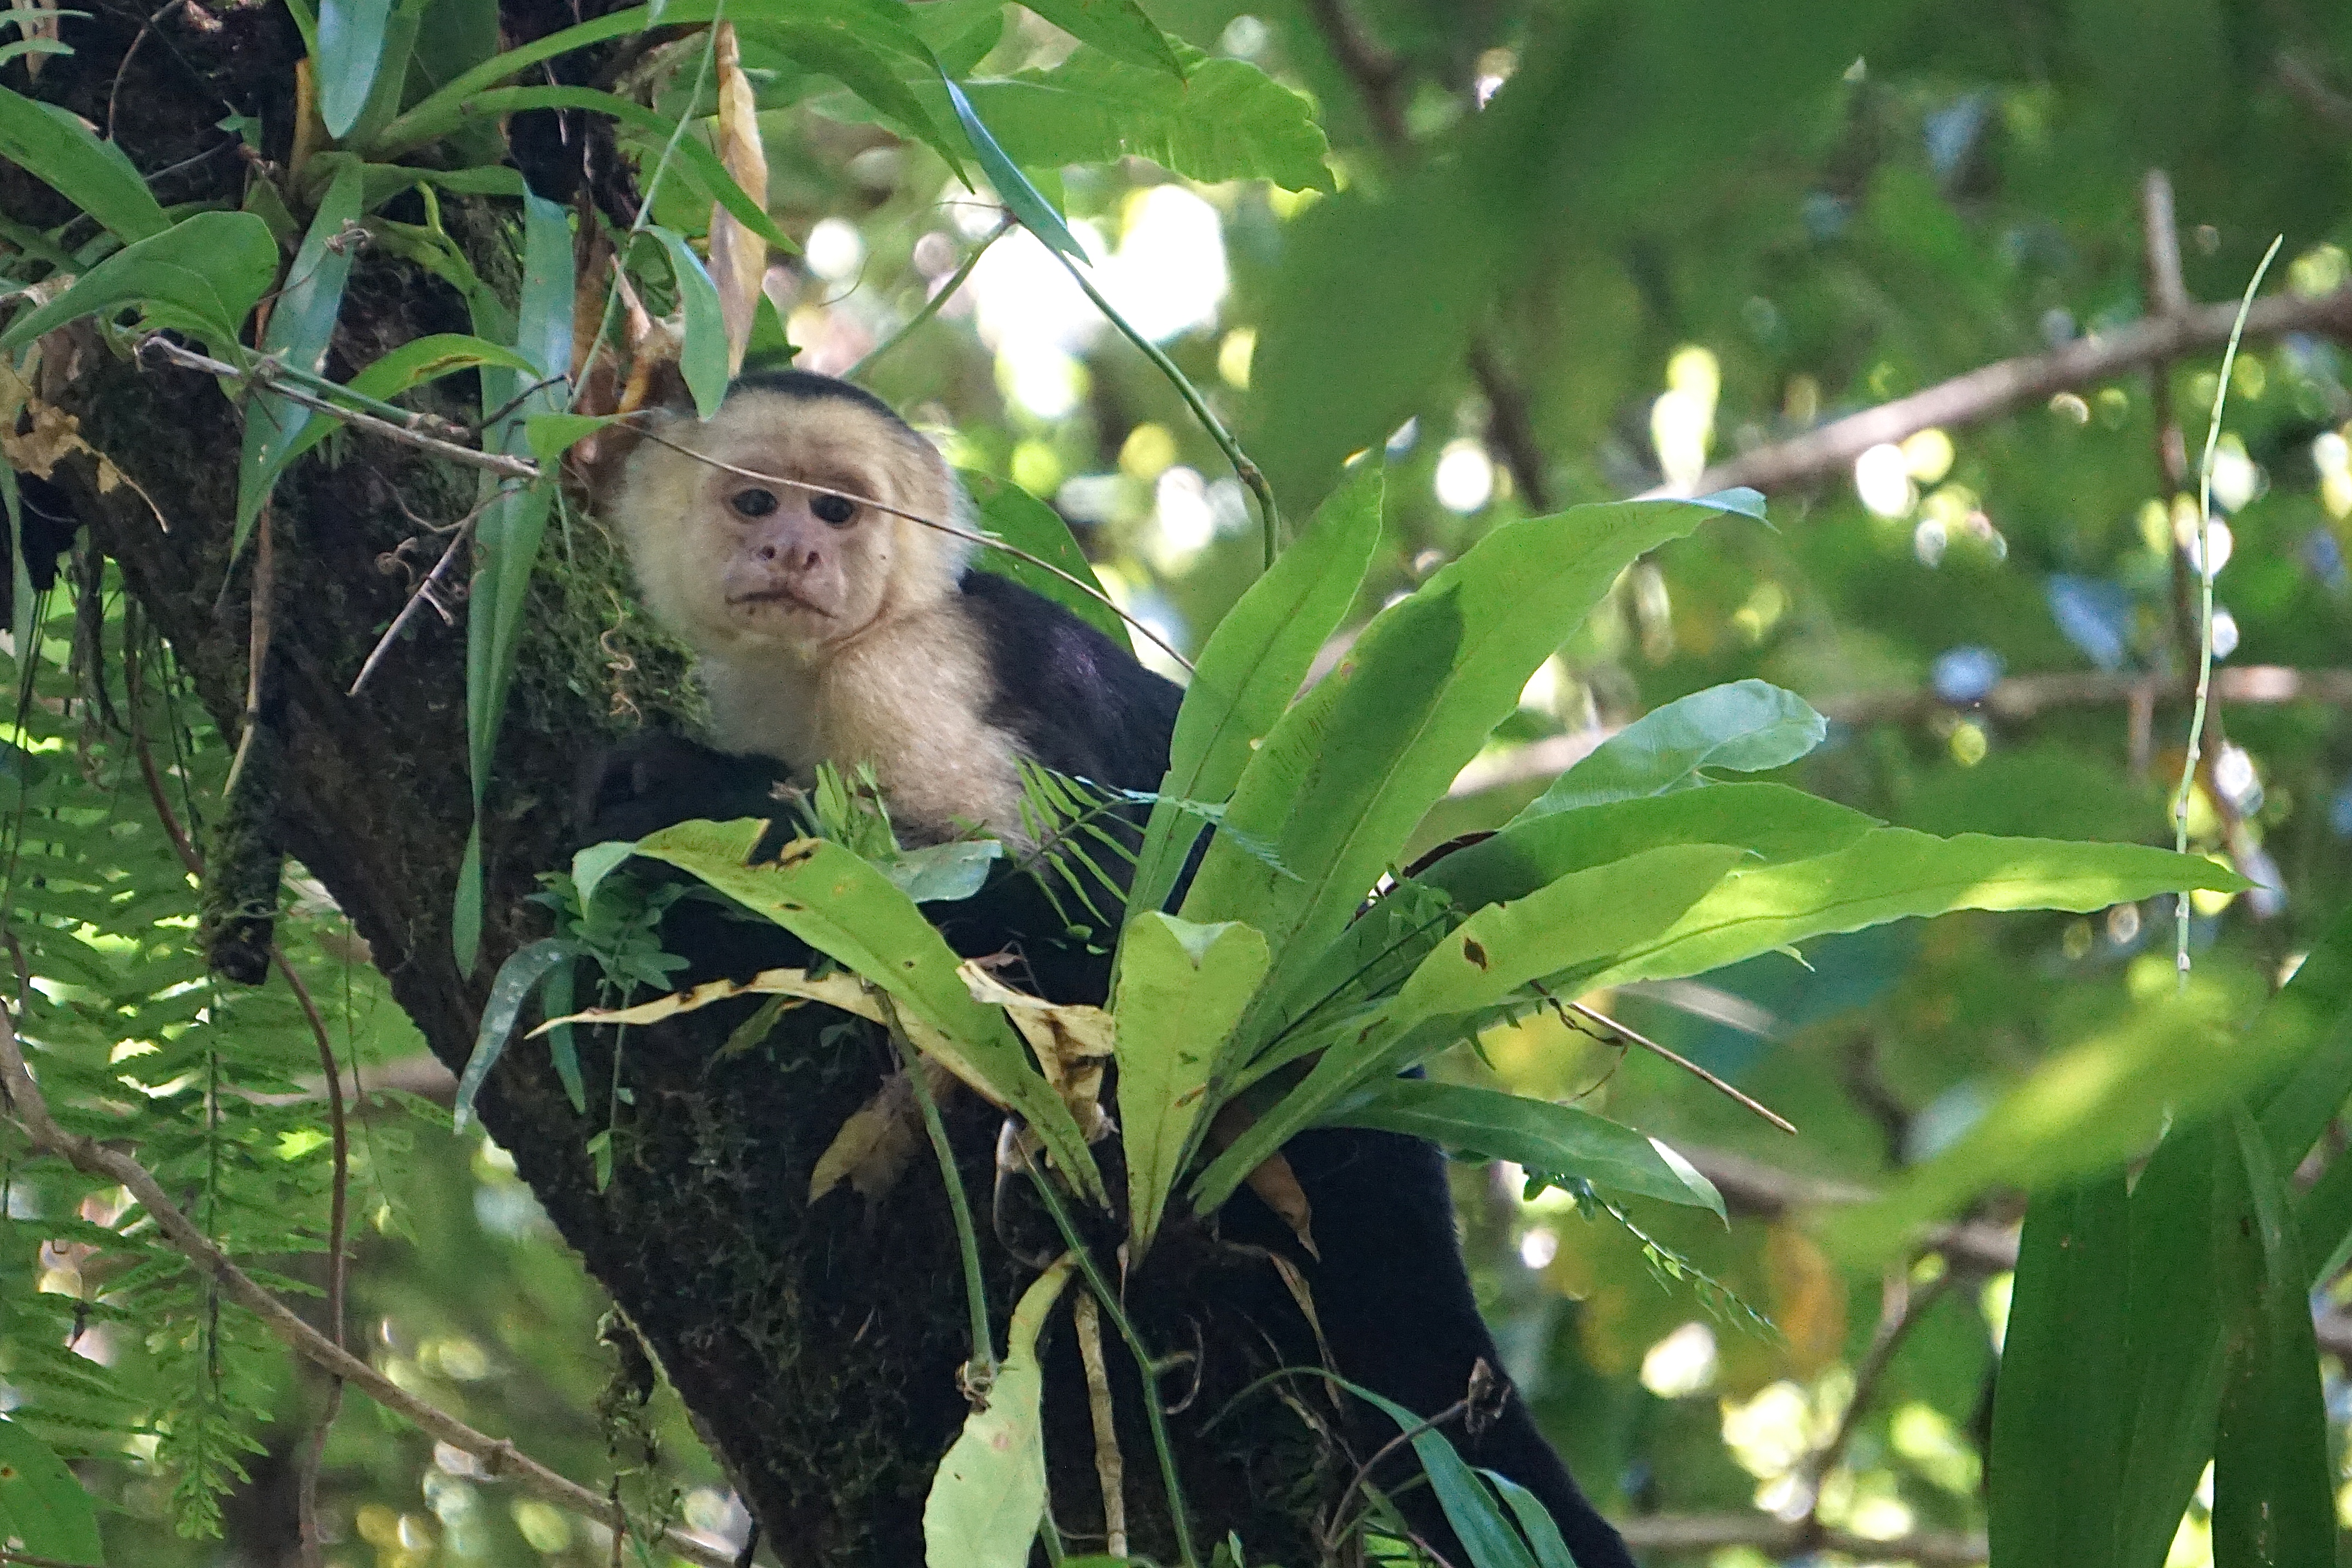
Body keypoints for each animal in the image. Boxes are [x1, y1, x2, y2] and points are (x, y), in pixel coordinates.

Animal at [584, 368, 1637, 1568]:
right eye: (756, 501)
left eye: (839, 510)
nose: (794, 551)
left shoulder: (907, 678)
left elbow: (1085, 918)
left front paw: (686, 802)